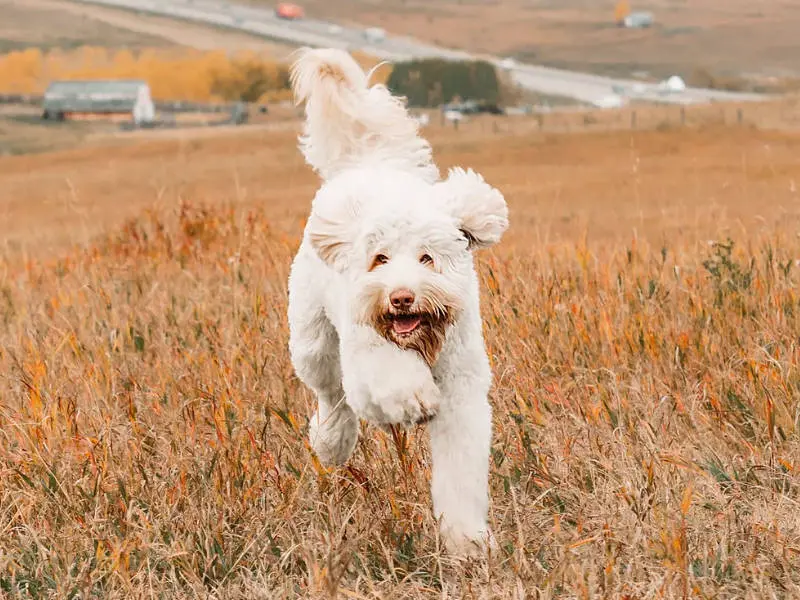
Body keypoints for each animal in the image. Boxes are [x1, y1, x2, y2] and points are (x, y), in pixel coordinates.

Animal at [288, 49, 510, 556]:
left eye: (428, 257)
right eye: (380, 258)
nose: (402, 297)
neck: (421, 342)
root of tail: (368, 164)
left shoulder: (463, 392)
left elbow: (460, 473)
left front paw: (467, 541)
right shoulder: (367, 362)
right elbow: (390, 380)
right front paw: (413, 397)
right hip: (314, 342)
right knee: (331, 396)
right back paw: (330, 441)